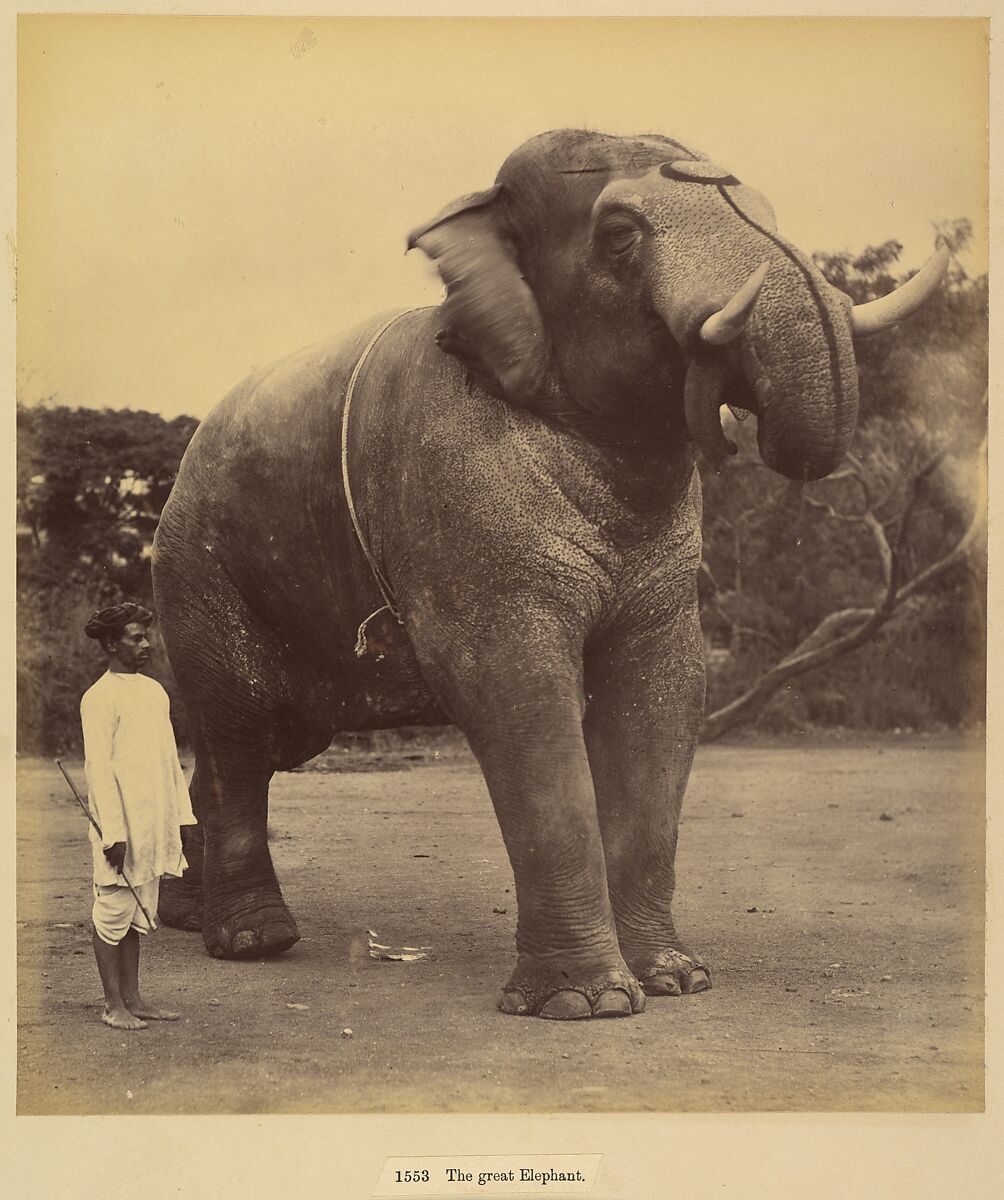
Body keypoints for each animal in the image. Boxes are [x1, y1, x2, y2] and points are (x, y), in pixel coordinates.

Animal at [152, 126, 945, 1017]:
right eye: (621, 235)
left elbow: (665, 691)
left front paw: (677, 981)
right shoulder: (458, 496)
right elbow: (514, 688)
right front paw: (587, 1005)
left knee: (256, 745)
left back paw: (191, 914)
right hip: (198, 571)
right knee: (239, 731)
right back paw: (254, 942)